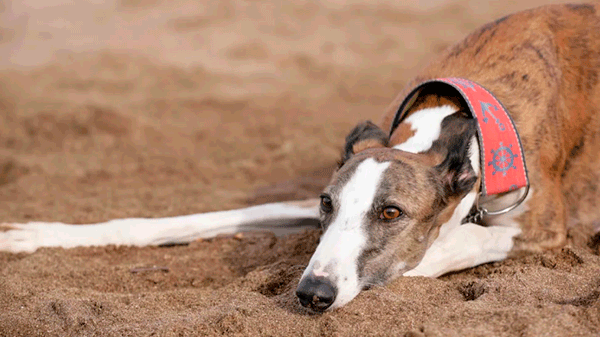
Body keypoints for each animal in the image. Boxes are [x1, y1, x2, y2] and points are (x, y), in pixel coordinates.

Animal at [1, 3, 600, 312]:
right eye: (326, 205)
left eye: (392, 213)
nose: (312, 294)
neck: (463, 115)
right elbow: (203, 216)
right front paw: (39, 235)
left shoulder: (543, 228)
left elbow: (437, 251)